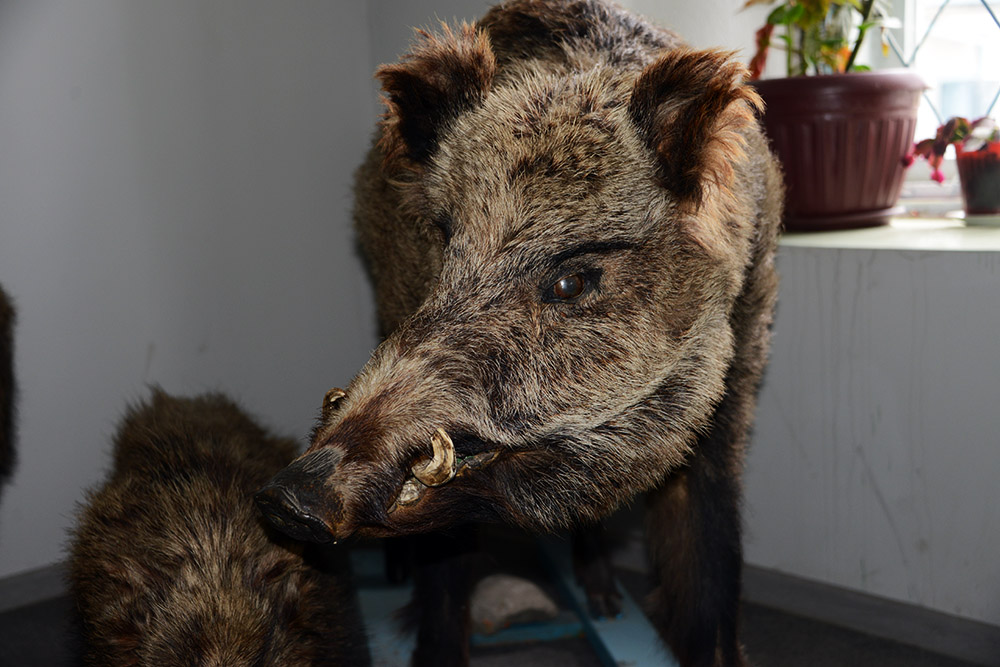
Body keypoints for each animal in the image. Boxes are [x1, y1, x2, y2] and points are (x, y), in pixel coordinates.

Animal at [256, 1, 783, 665]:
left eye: (571, 282)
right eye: (442, 241)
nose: (284, 499)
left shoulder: (736, 383)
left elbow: (710, 563)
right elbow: (444, 583)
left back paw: (606, 606)